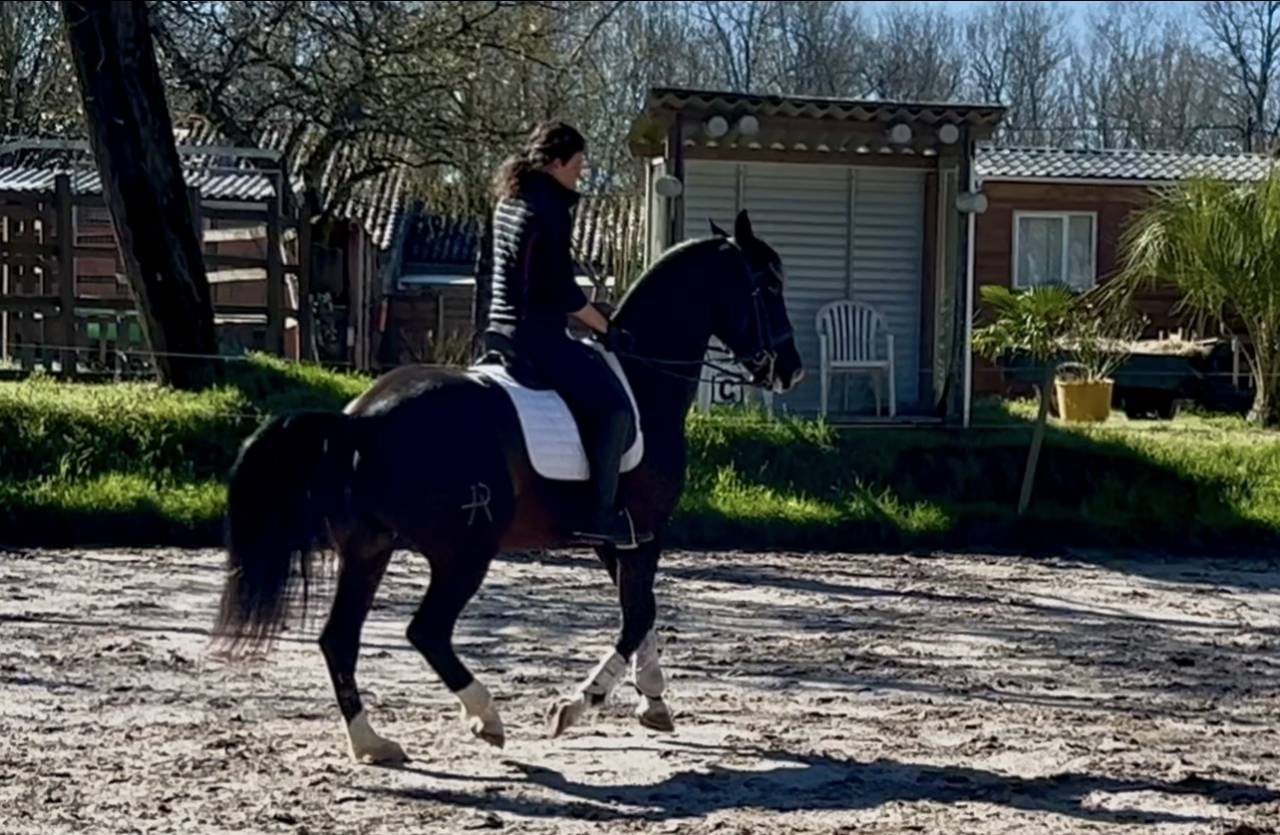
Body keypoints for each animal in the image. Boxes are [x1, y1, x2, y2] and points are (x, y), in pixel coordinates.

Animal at [212, 209, 804, 764]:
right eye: (769, 284)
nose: (790, 370)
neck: (643, 378)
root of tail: (361, 420)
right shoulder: (645, 530)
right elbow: (639, 614)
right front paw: (578, 705)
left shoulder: (615, 540)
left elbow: (642, 608)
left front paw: (653, 701)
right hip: (463, 552)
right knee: (425, 631)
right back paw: (485, 716)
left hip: (368, 549)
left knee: (339, 638)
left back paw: (372, 743)